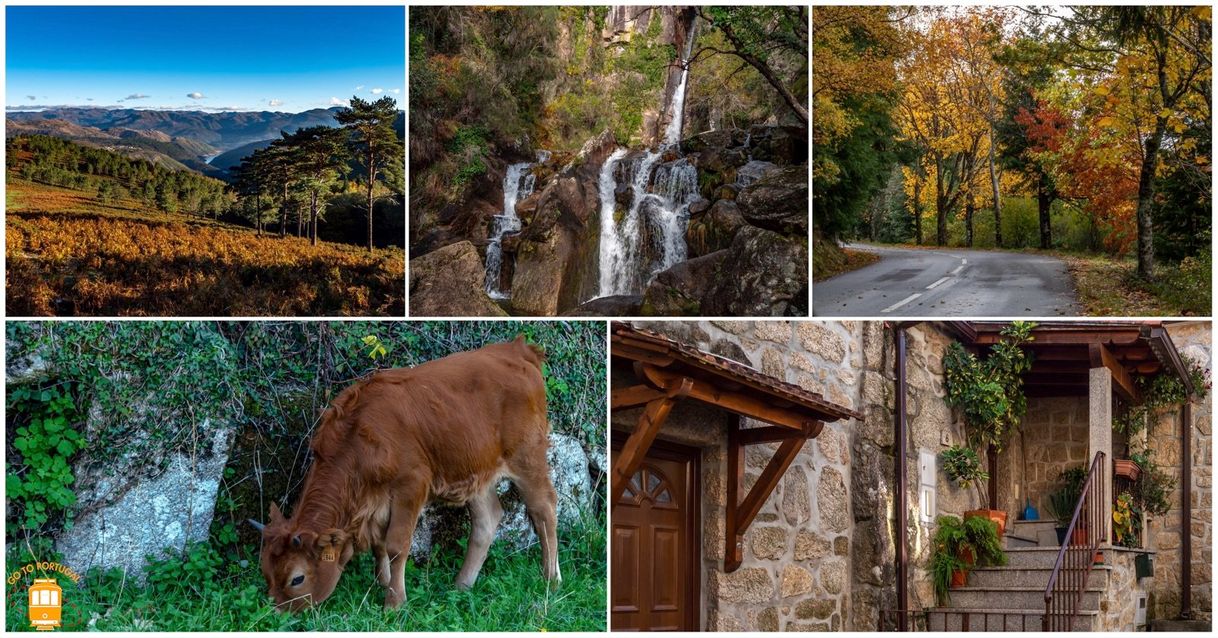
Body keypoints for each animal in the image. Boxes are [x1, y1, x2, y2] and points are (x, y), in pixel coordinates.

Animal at [253, 336, 565, 611]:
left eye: (297, 579)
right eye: (266, 571)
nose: (277, 612)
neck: (357, 439)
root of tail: (518, 350)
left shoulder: (411, 484)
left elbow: (396, 545)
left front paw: (394, 603)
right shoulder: (375, 501)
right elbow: (379, 545)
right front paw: (382, 584)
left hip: (528, 455)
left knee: (544, 509)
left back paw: (551, 579)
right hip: (477, 470)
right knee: (487, 520)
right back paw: (461, 585)